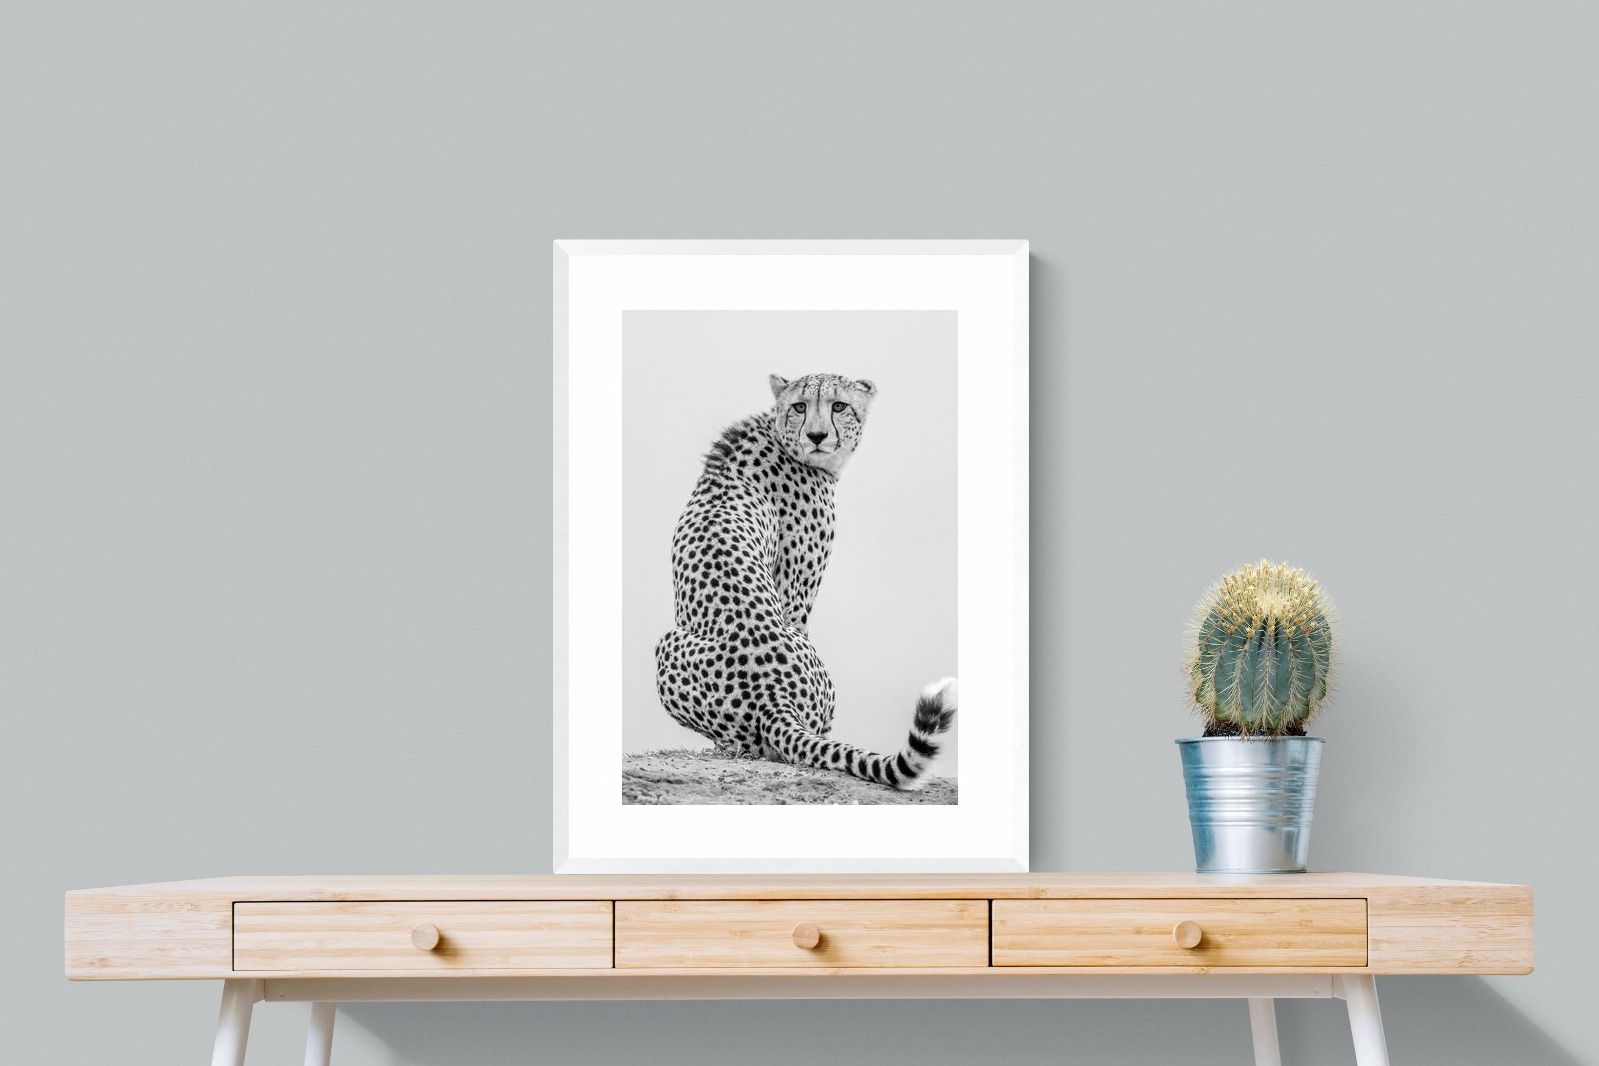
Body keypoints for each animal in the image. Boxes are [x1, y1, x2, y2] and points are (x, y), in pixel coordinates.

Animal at [652, 371, 958, 792]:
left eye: (839, 405)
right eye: (800, 406)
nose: (816, 435)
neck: (779, 435)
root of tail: (772, 697)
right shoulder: (796, 594)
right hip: (670, 644)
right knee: (764, 745)